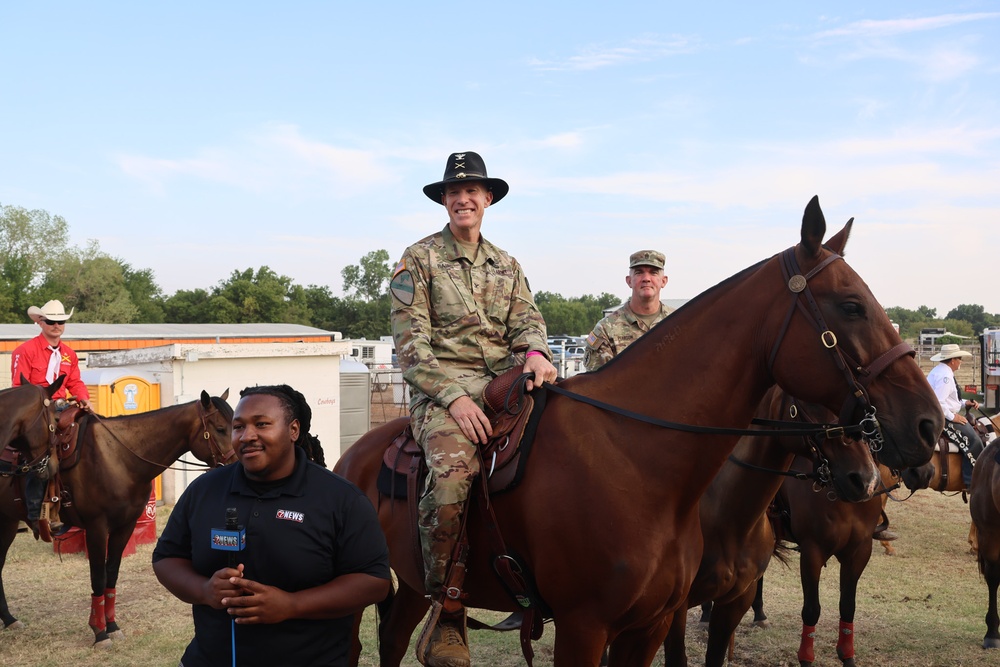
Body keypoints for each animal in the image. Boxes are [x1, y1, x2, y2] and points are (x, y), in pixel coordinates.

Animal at [0, 388, 233, 644]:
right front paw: (99, 632)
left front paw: (111, 625)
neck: (118, 456)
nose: (237, 463)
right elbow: (98, 576)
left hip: (8, 524)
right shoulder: (97, 528)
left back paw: (9, 619)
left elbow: (111, 573)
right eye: (220, 428)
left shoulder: (125, 526)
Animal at [668, 386, 880, 667]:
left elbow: (847, 606)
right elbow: (811, 610)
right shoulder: (812, 551)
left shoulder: (859, 550)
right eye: (813, 400)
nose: (866, 479)